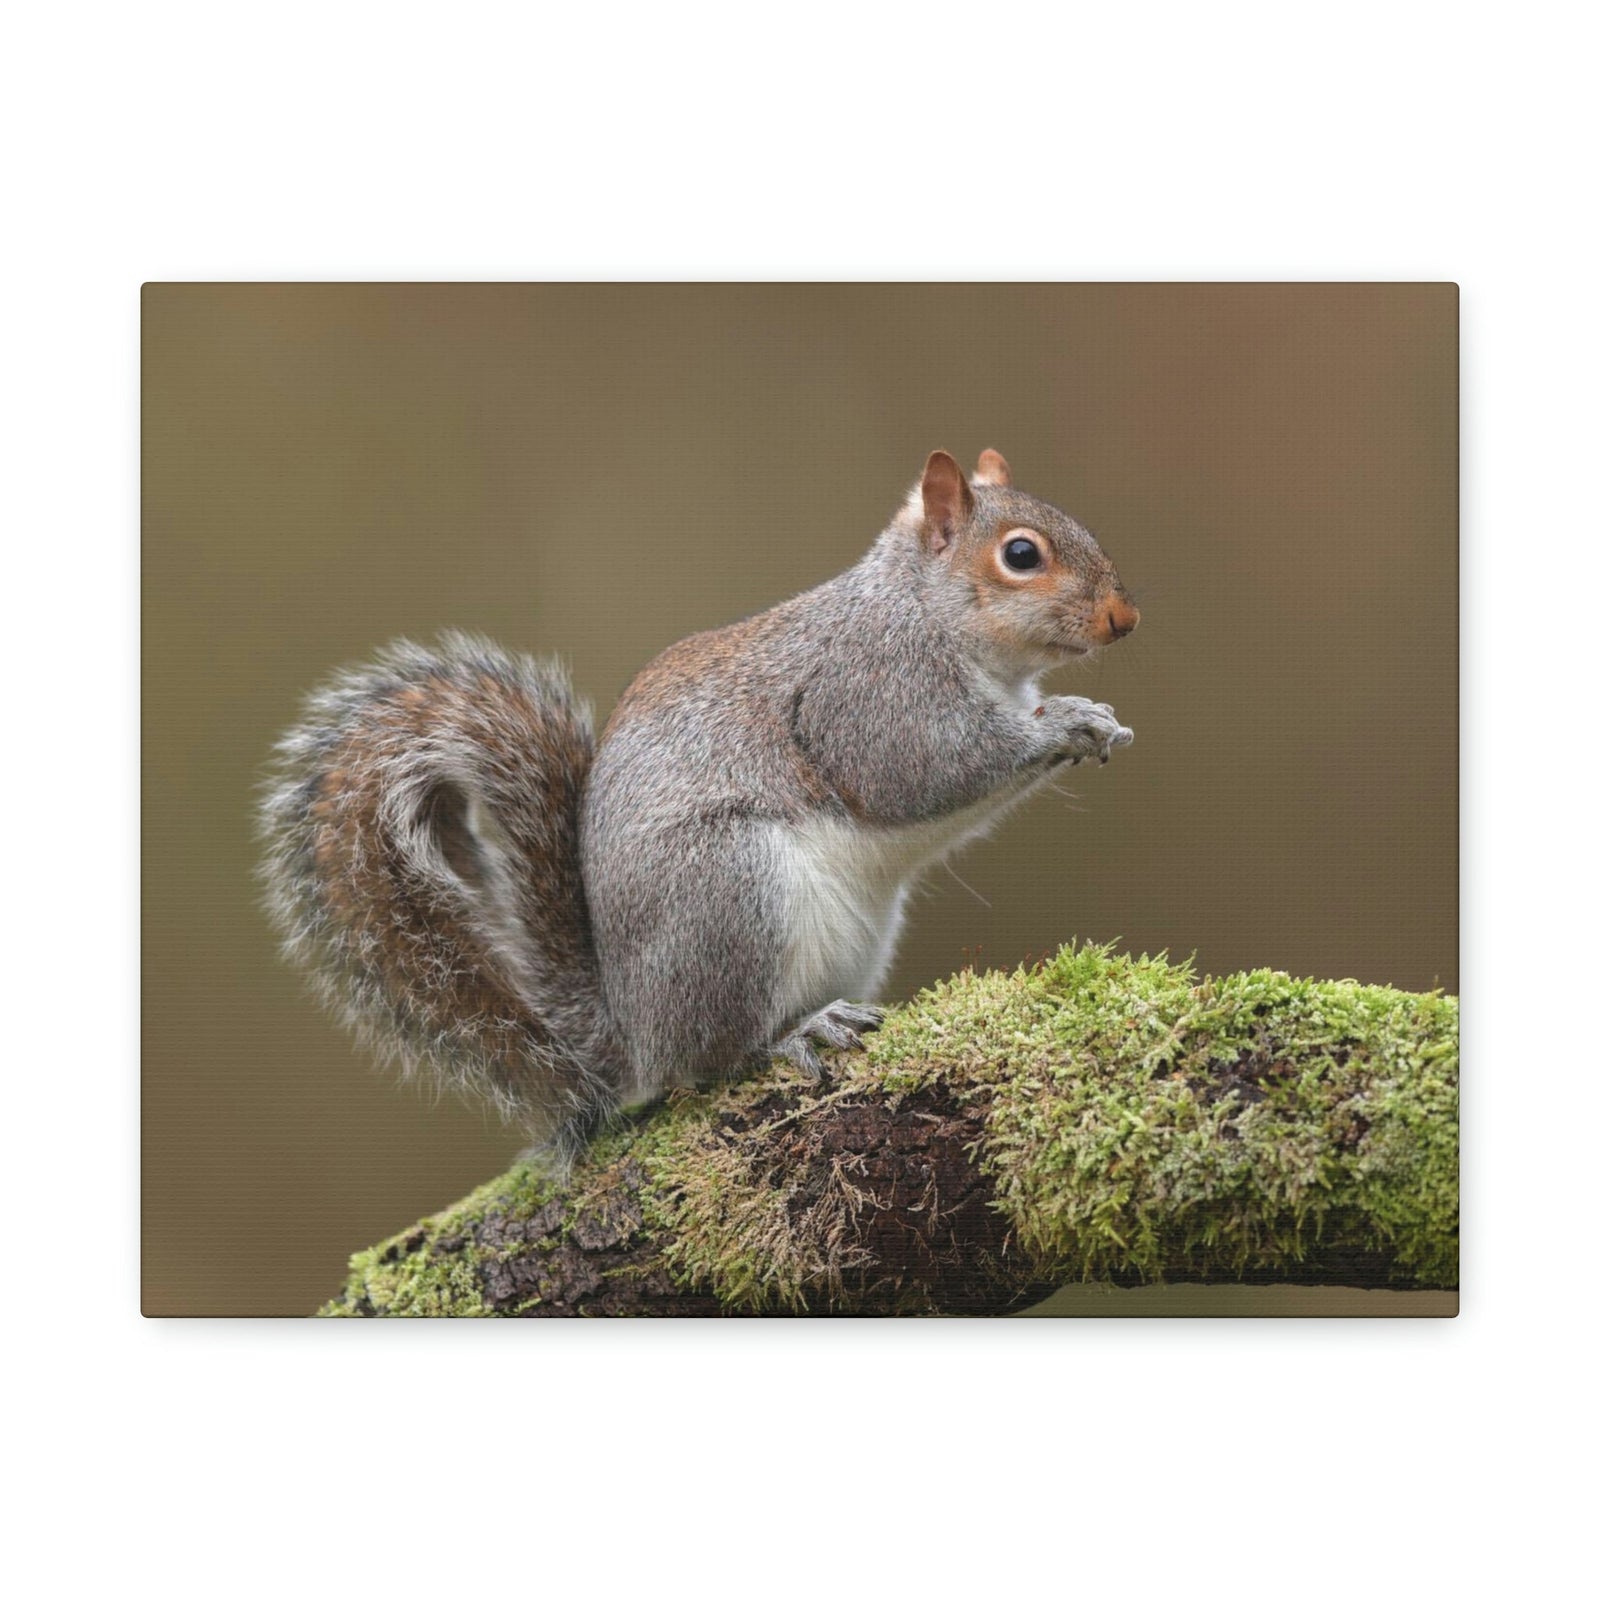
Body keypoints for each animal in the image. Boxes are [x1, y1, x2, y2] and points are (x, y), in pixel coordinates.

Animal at [259, 449, 1139, 1163]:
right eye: (1021, 555)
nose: (1124, 618)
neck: (923, 611)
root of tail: (632, 1031)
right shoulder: (867, 694)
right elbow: (922, 772)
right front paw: (1064, 721)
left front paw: (1094, 721)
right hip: (729, 894)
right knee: (713, 1058)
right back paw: (792, 1034)